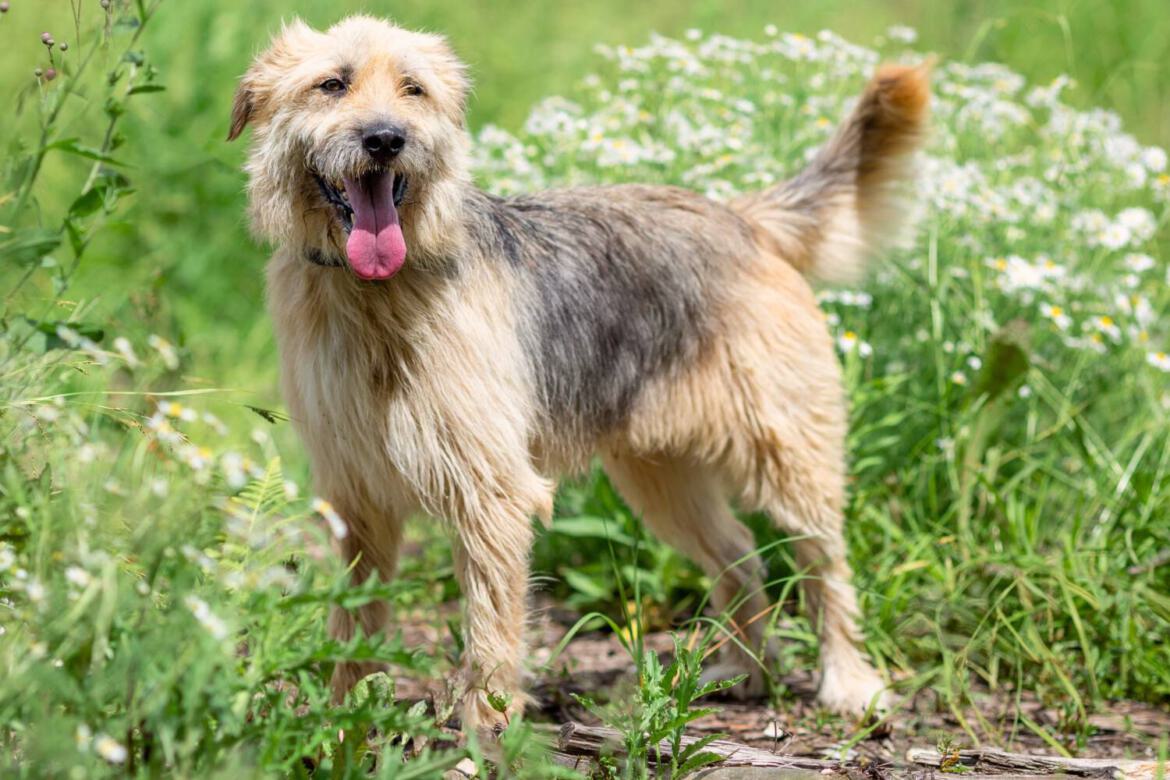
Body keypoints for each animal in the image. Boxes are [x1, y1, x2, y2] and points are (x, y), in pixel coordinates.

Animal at [230, 13, 931, 734]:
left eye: (413, 89)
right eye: (332, 84)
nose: (386, 139)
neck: (377, 294)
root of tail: (741, 218)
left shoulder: (490, 494)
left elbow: (491, 629)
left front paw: (486, 731)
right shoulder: (357, 499)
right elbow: (354, 621)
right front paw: (339, 718)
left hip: (787, 457)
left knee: (826, 569)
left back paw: (850, 684)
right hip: (661, 478)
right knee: (738, 552)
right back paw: (744, 671)